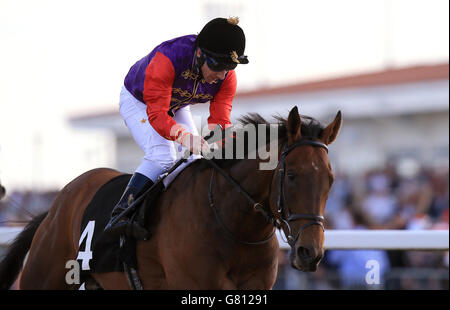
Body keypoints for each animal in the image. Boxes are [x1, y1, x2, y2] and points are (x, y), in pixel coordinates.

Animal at [0, 105, 340, 290]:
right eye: (292, 175)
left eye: (330, 179)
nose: (310, 252)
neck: (233, 224)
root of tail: (55, 207)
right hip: (44, 276)